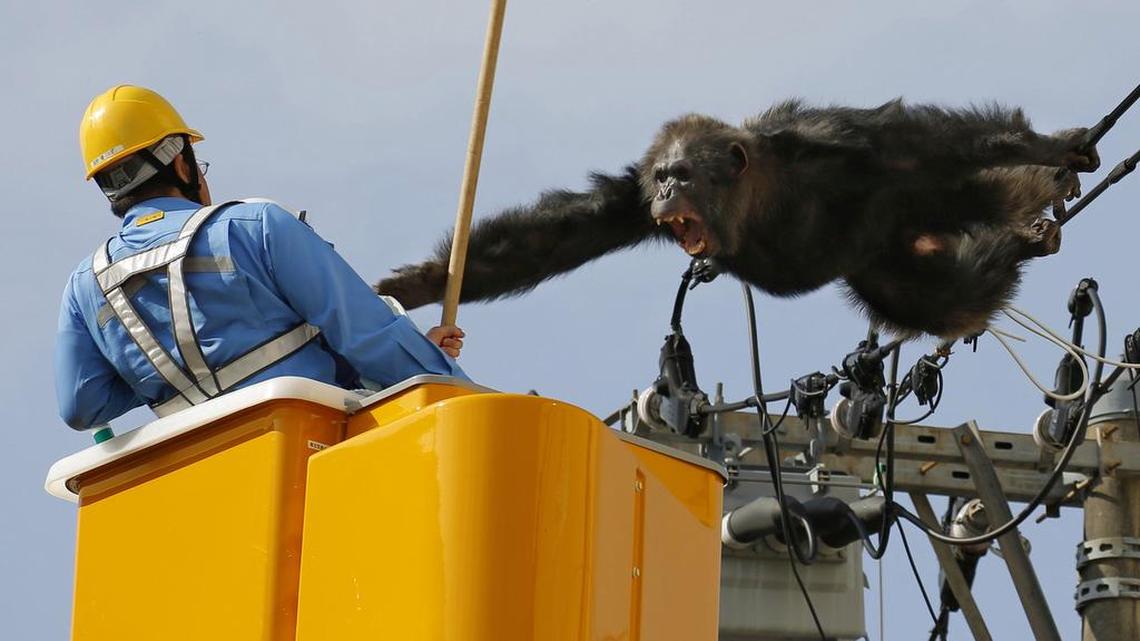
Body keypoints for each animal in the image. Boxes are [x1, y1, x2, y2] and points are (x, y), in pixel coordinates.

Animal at [376, 99, 1098, 339]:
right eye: (661, 176)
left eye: (682, 173)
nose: (667, 193)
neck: (757, 198)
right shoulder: (629, 202)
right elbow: (553, 238)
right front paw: (421, 282)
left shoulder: (841, 143)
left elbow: (922, 142)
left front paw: (1047, 148)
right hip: (885, 265)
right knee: (938, 298)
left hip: (921, 207)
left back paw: (1030, 220)